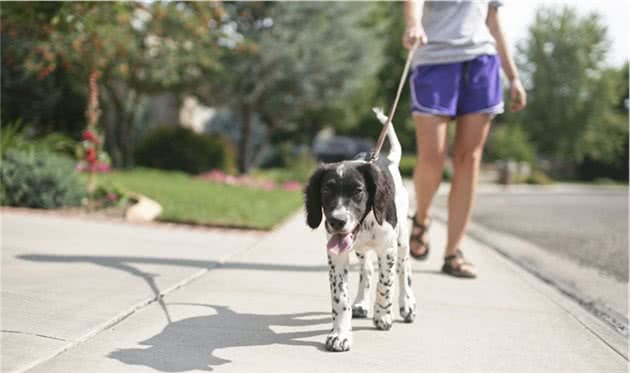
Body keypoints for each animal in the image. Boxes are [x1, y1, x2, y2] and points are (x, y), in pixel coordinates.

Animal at [304, 108, 418, 352]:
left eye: (358, 191)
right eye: (326, 190)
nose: (336, 221)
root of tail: (390, 161)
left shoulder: (387, 249)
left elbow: (386, 284)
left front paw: (383, 315)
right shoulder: (336, 255)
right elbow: (340, 297)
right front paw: (340, 334)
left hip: (401, 240)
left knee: (404, 269)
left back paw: (407, 305)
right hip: (360, 249)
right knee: (367, 270)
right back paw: (361, 304)